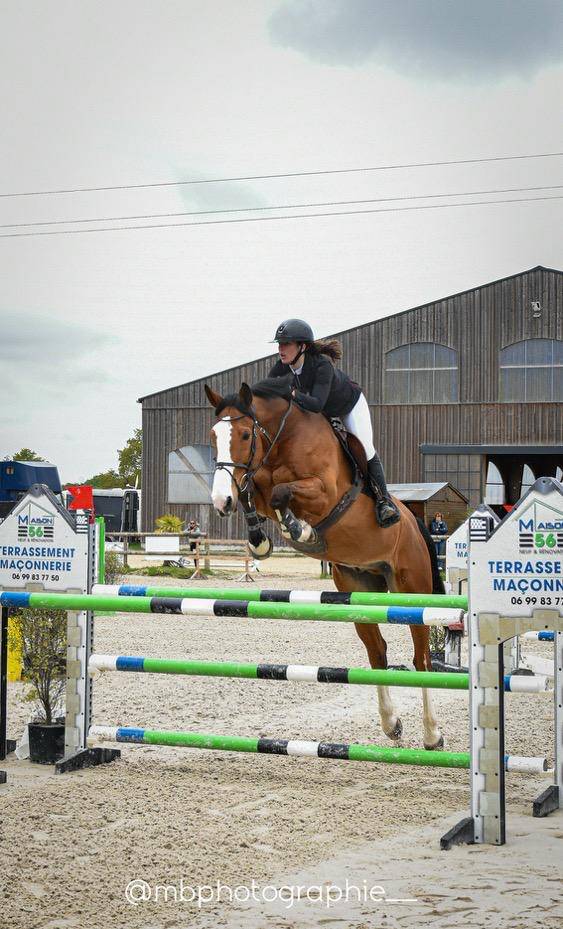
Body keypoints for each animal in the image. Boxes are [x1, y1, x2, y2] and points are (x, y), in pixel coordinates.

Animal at [205, 378, 445, 750]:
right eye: (213, 436)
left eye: (245, 435)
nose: (220, 501)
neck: (281, 438)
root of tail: (415, 523)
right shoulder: (257, 484)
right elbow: (253, 493)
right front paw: (260, 540)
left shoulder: (323, 491)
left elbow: (281, 493)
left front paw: (300, 530)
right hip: (358, 588)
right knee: (377, 652)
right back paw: (391, 724)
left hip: (411, 589)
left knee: (422, 659)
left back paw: (432, 734)